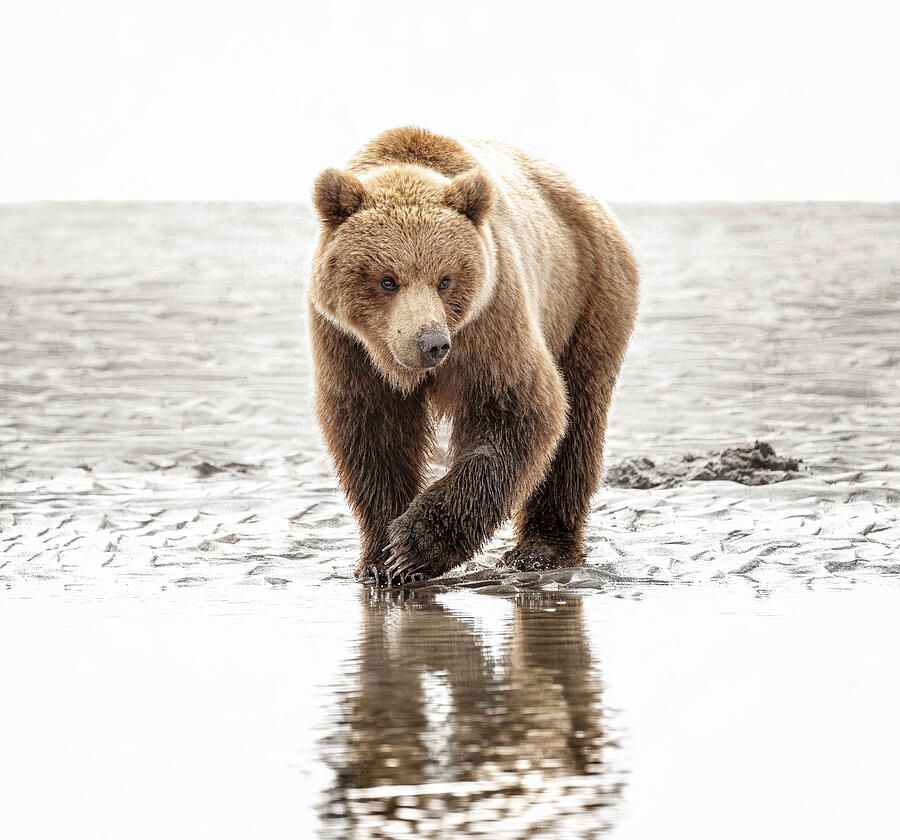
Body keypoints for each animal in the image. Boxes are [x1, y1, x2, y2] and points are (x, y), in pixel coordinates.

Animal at [308, 127, 639, 585]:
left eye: (445, 278)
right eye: (387, 280)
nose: (431, 343)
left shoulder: (489, 316)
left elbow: (514, 412)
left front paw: (414, 546)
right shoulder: (347, 344)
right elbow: (372, 432)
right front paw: (380, 559)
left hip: (589, 298)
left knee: (578, 422)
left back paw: (540, 550)